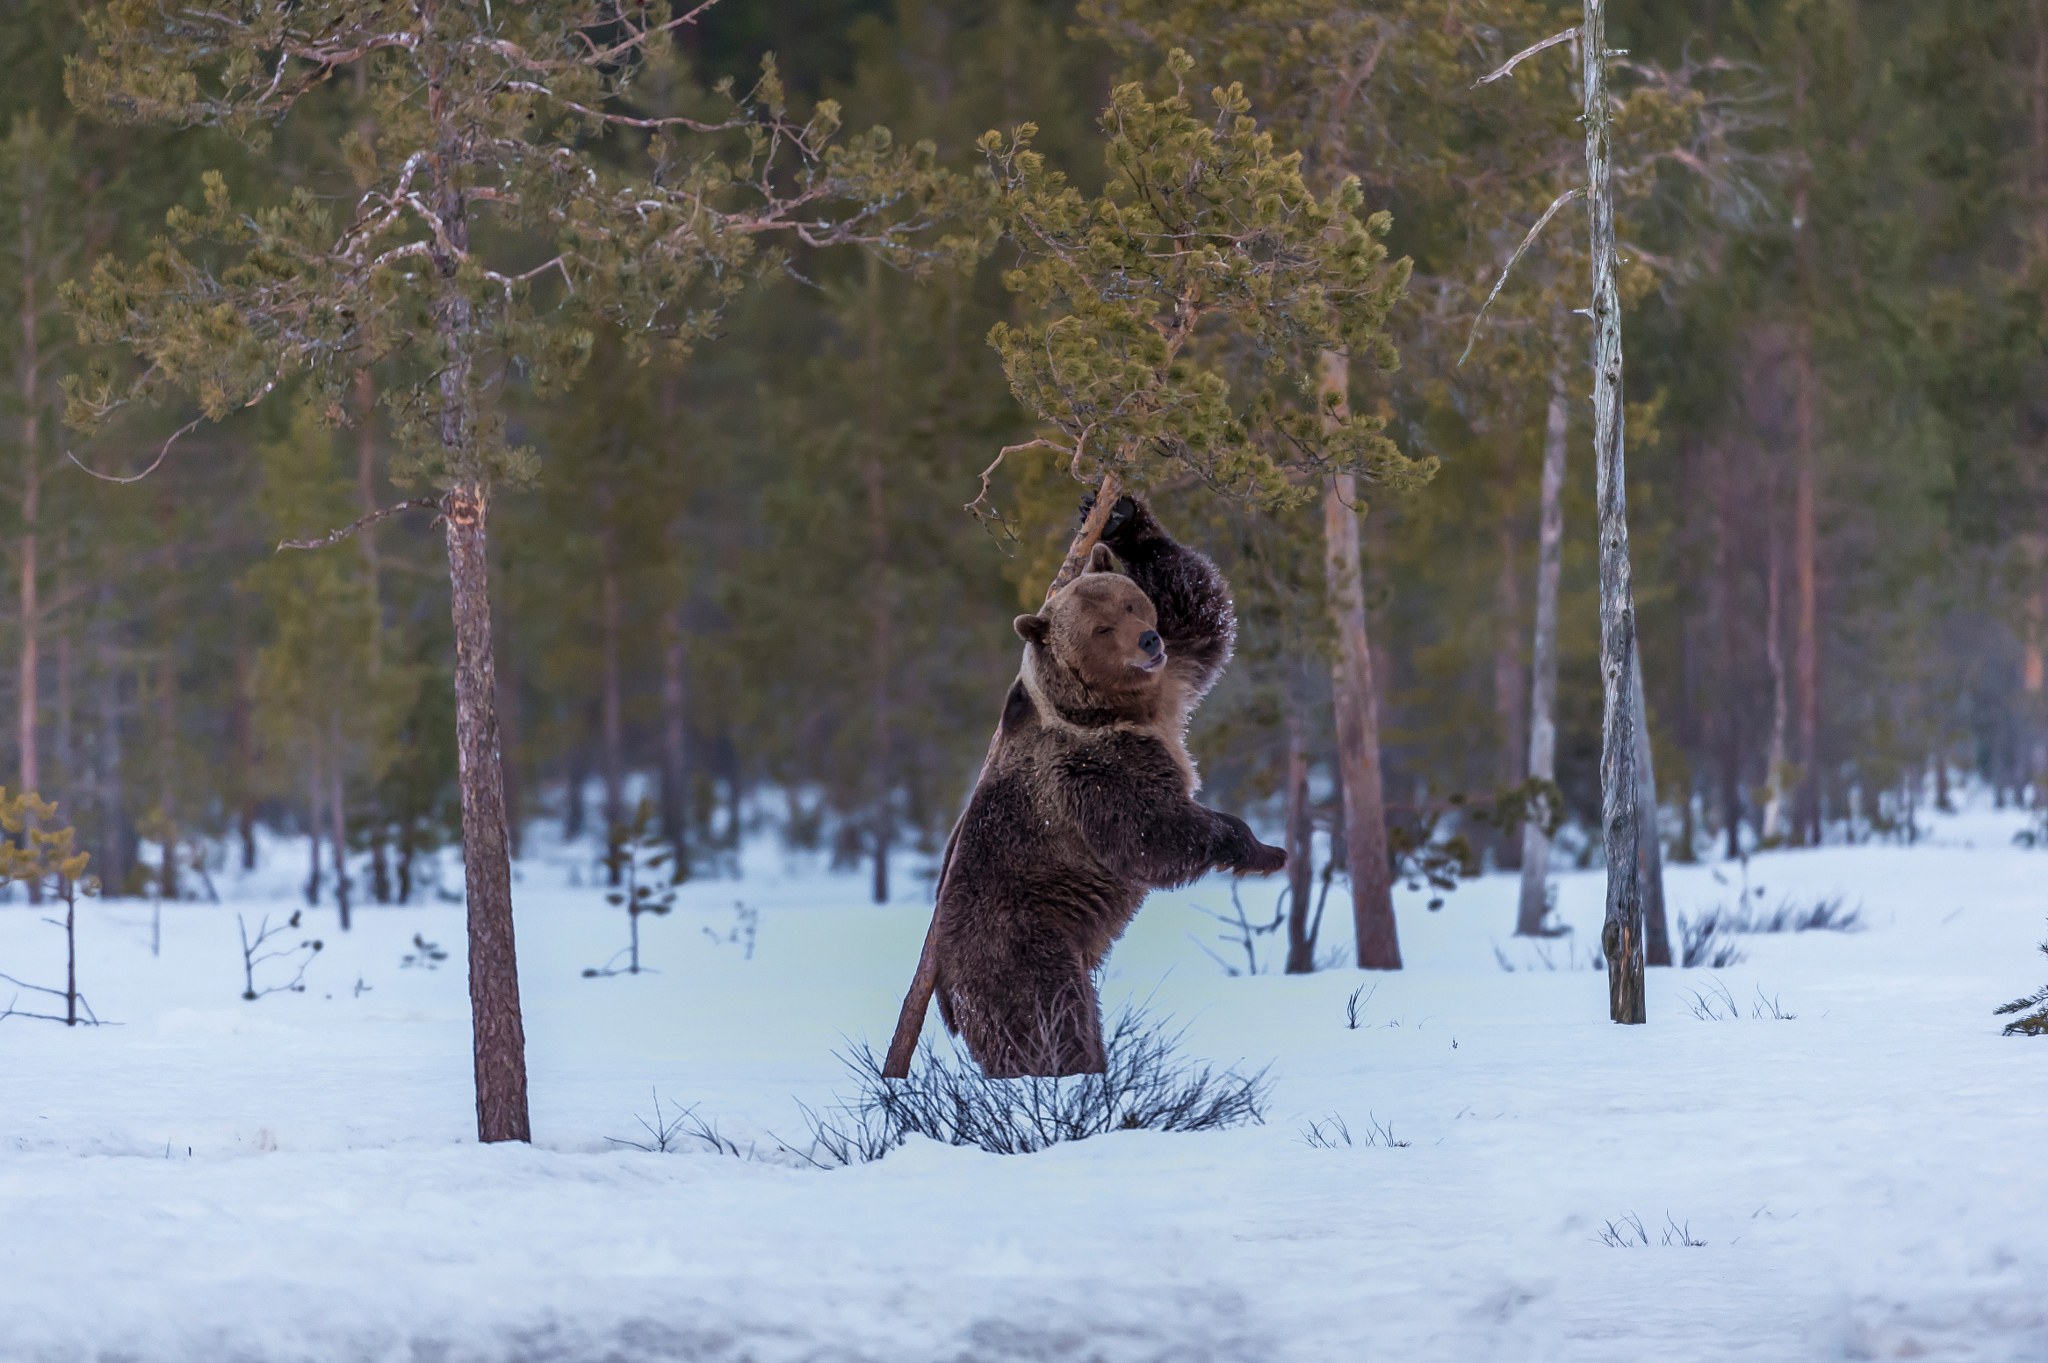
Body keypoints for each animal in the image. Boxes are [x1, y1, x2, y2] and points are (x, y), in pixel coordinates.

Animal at [929, 493, 1277, 1080]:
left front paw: (1116, 516)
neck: (1114, 709)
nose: (1147, 640)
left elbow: (1197, 604)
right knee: (1044, 1013)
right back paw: (1069, 1070)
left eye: (1132, 605)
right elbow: (1150, 833)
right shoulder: (1088, 773)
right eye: (1100, 630)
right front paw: (1257, 846)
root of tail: (943, 987)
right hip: (1018, 936)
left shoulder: (1171, 681)